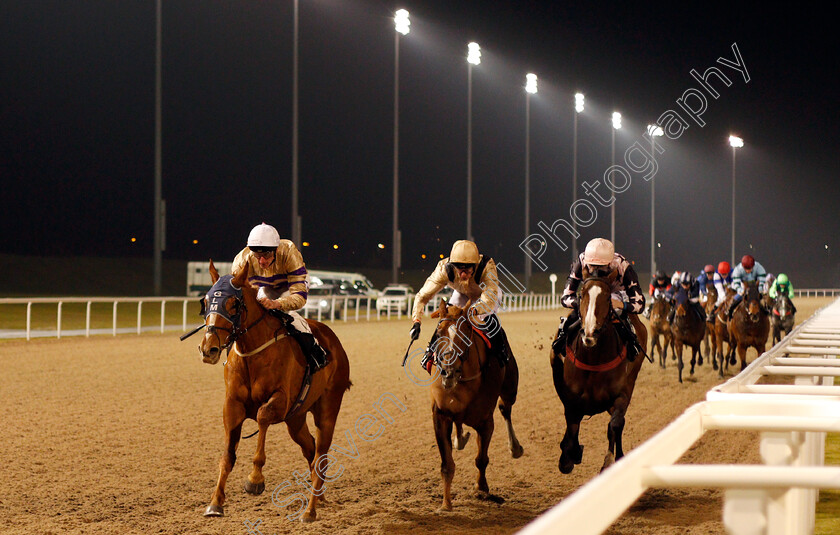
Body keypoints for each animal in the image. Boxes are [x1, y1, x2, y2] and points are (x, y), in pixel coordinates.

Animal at [197, 262, 352, 520]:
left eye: (233, 304)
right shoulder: (232, 405)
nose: (209, 349)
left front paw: (255, 479)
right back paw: (318, 497)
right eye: (207, 301)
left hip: (328, 409)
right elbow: (227, 455)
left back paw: (310, 510)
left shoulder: (280, 400)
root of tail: (334, 342)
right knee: (310, 450)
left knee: (321, 455)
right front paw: (215, 502)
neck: (252, 354)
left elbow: (262, 417)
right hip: (296, 419)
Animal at [430, 300, 520, 512]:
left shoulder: (486, 422)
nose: (448, 371)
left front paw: (481, 488)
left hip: (510, 388)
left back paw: (515, 447)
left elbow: (481, 459)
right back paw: (460, 439)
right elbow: (447, 465)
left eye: (464, 336)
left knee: (506, 409)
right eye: (438, 334)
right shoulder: (440, 416)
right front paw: (446, 504)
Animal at [552, 272, 648, 474]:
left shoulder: (622, 394)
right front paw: (569, 455)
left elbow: (615, 424)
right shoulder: (570, 398)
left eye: (607, 297)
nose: (590, 332)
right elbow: (572, 424)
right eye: (582, 295)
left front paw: (610, 461)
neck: (593, 359)